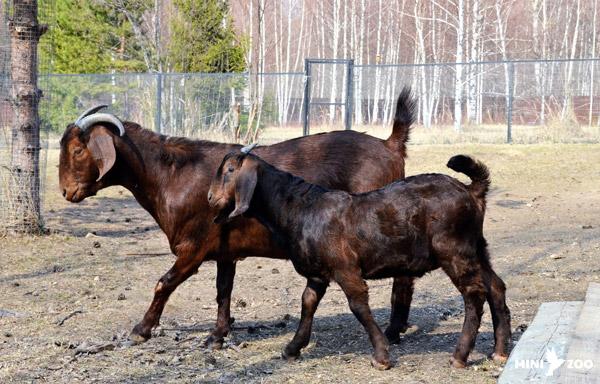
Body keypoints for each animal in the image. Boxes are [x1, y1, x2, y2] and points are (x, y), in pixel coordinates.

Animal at [59, 88, 418, 346]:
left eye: (77, 150)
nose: (65, 191)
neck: (172, 175)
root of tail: (390, 145)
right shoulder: (224, 250)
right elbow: (223, 291)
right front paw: (218, 335)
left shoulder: (193, 247)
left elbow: (165, 283)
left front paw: (141, 330)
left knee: (404, 276)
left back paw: (393, 330)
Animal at [207, 151, 510, 368]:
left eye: (229, 171)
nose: (209, 197)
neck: (302, 208)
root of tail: (471, 191)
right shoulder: (317, 274)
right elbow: (308, 303)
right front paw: (292, 348)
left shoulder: (345, 268)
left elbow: (358, 305)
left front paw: (382, 356)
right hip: (477, 248)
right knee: (496, 286)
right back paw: (499, 351)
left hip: (454, 249)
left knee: (474, 293)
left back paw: (460, 356)